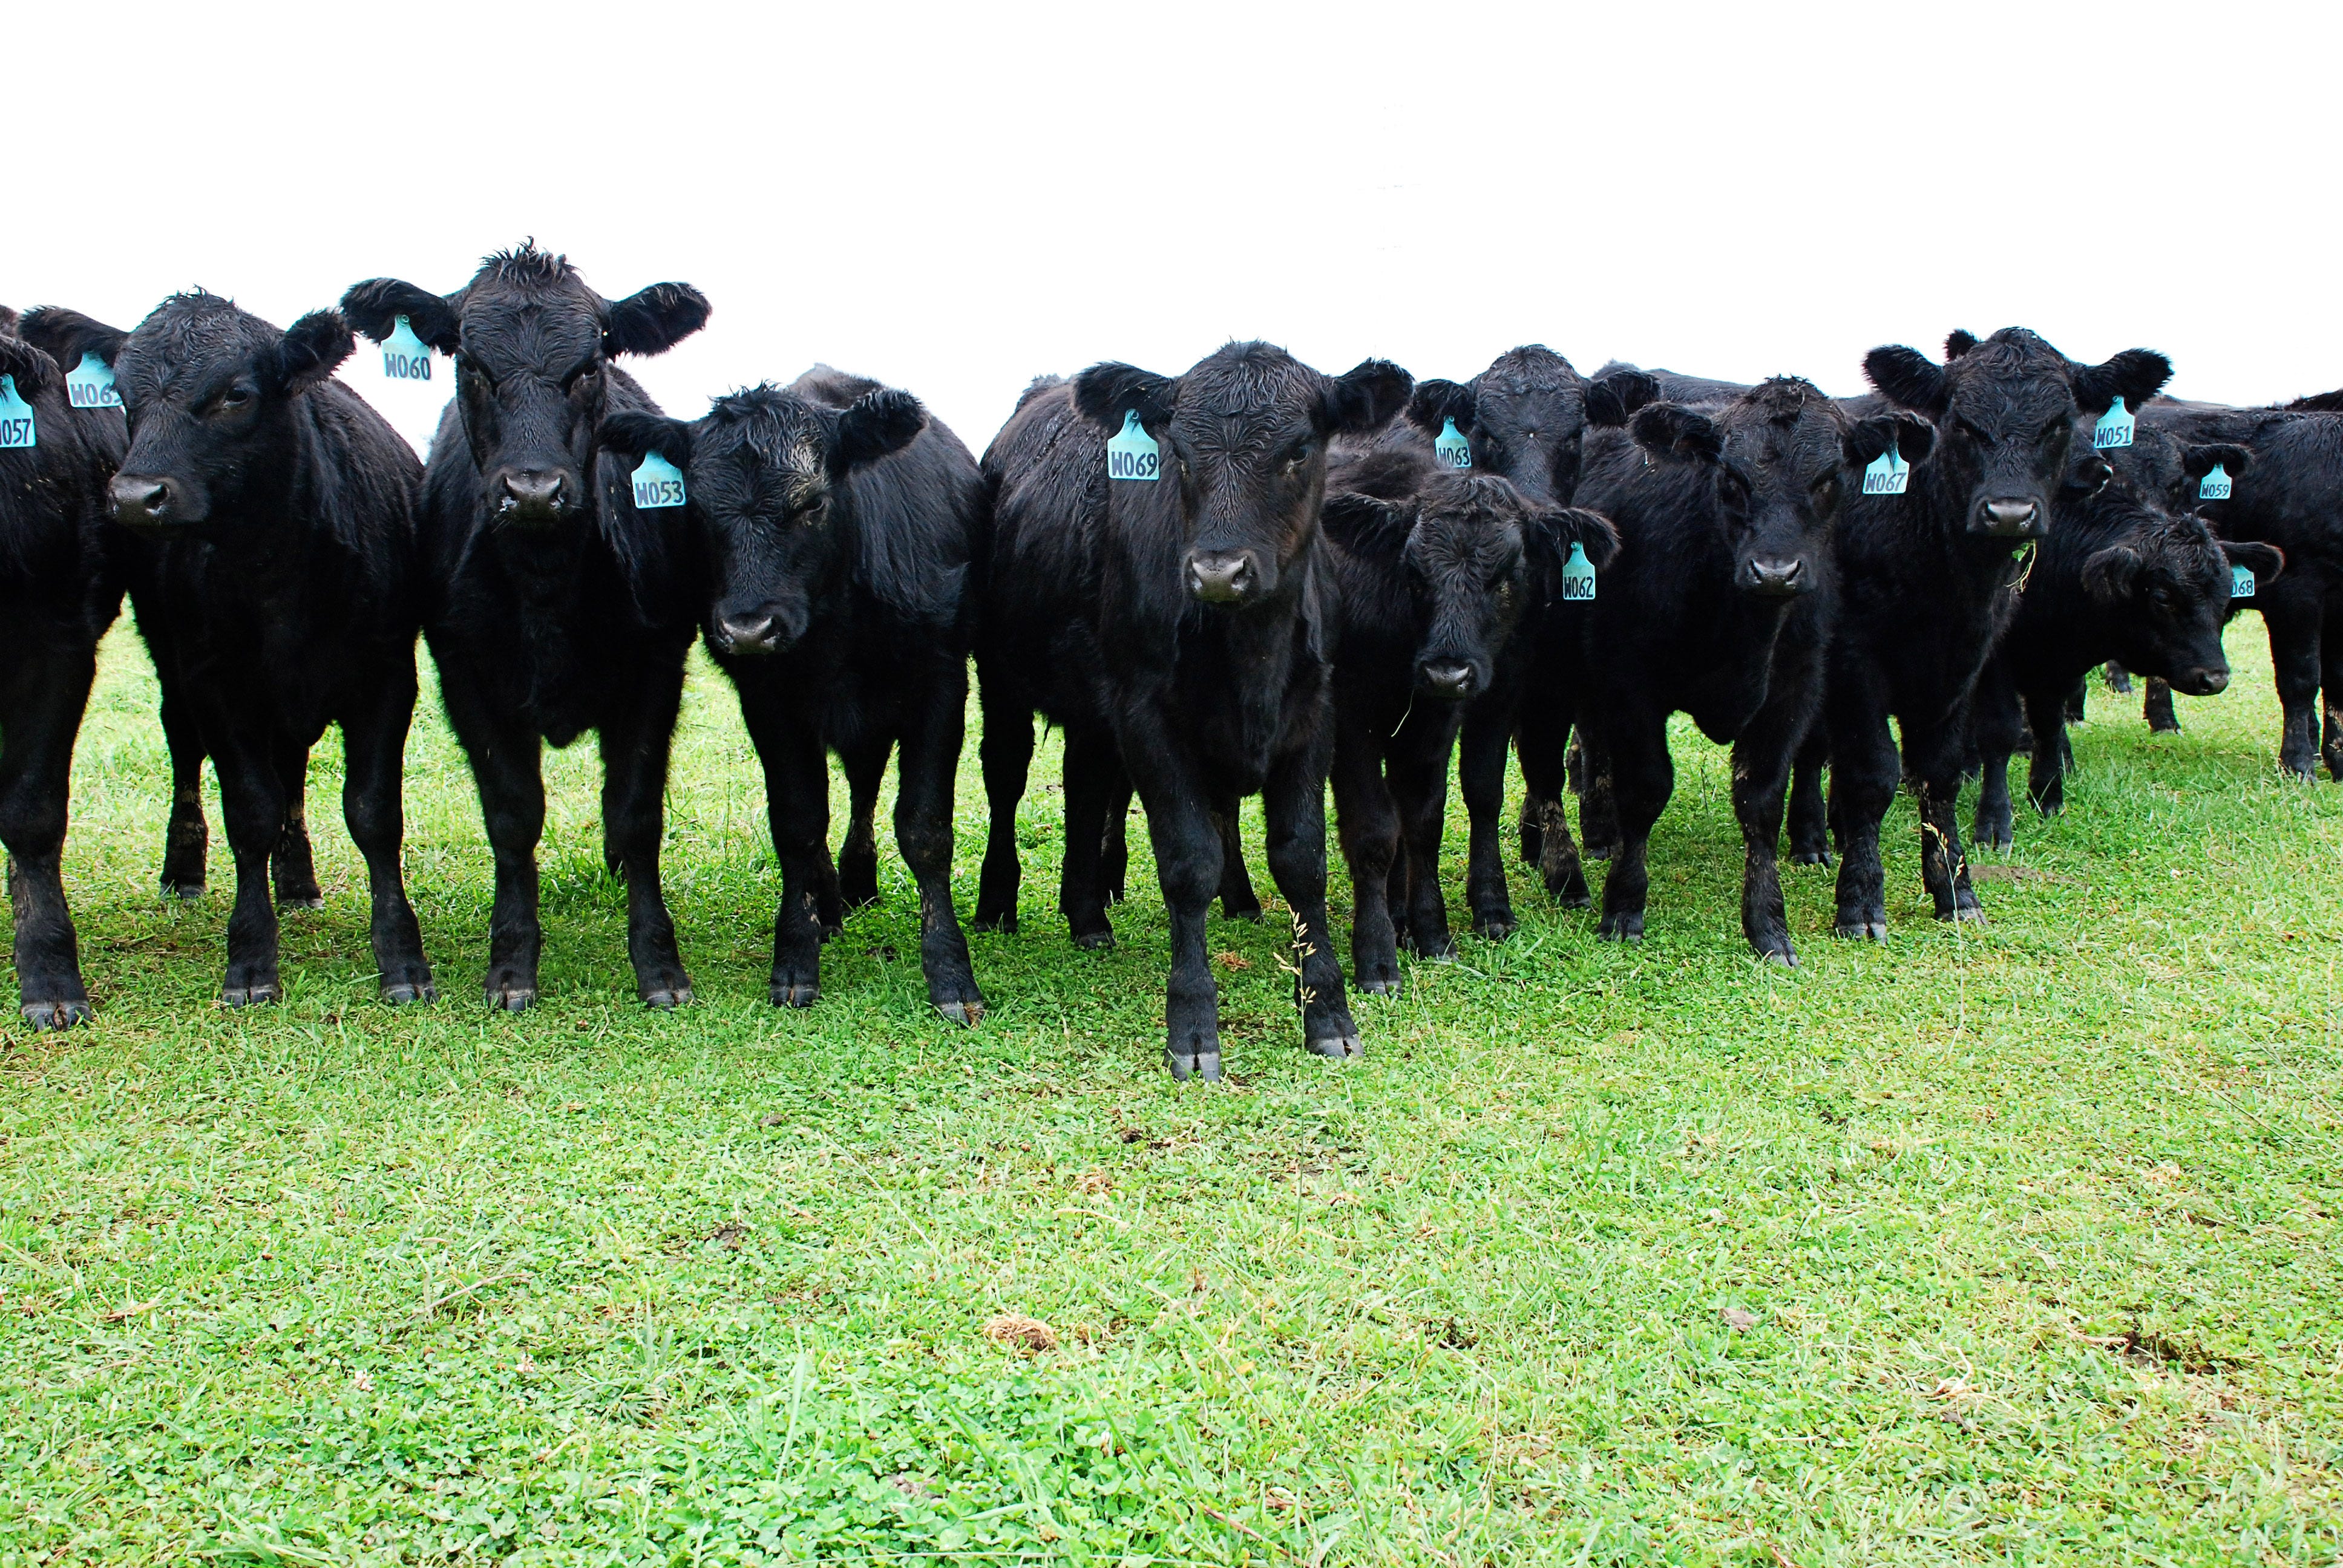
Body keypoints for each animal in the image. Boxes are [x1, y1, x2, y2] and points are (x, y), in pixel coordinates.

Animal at [25, 293, 436, 1003]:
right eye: (124, 395)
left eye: (235, 394)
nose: (135, 498)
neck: (277, 572)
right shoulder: (215, 680)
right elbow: (250, 810)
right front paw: (249, 960)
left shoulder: (386, 674)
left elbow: (374, 813)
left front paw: (402, 959)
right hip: (171, 661)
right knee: (185, 749)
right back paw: (185, 870)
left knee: (293, 768)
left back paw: (297, 880)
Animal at [339, 243, 703, 1003]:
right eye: (471, 364)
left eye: (590, 365)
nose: (532, 490)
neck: (546, 585)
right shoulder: (464, 675)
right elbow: (512, 817)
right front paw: (510, 964)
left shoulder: (657, 668)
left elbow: (636, 813)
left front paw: (658, 965)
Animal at [604, 373, 988, 1022]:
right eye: (696, 510)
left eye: (812, 503)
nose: (748, 628)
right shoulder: (768, 701)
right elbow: (799, 823)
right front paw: (796, 959)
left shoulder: (941, 683)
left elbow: (925, 828)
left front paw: (951, 974)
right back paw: (831, 902)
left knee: (864, 784)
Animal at [974, 342, 1406, 1078]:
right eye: (1177, 453)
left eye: (1299, 449)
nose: (1217, 572)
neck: (1252, 651)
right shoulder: (1148, 718)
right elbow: (1188, 863)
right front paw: (1194, 1027)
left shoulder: (1314, 717)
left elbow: (1303, 861)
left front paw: (1327, 1015)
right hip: (1000, 679)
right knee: (1005, 779)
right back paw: (996, 904)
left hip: (1094, 711)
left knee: (1084, 785)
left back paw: (1087, 918)